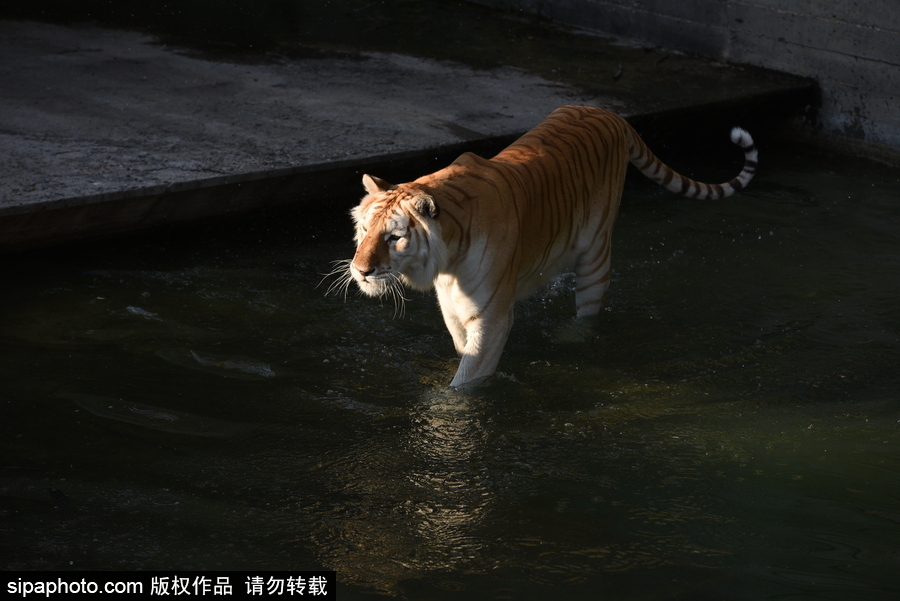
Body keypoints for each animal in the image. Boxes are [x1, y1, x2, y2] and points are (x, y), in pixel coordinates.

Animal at [341, 105, 757, 388]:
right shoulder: (454, 309)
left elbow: (468, 380)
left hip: (595, 254)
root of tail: (610, 113)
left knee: (588, 310)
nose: (360, 270)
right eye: (364, 229)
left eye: (394, 237)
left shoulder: (491, 317)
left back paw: (572, 337)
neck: (447, 262)